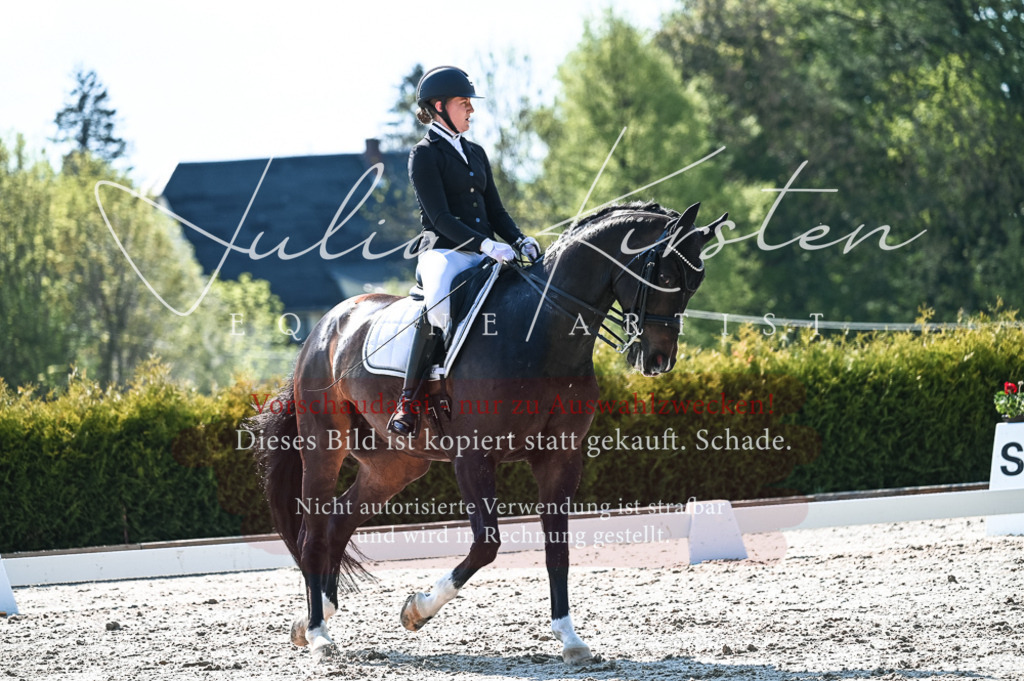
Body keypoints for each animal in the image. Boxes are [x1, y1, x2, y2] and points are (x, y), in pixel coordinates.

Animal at [251, 200, 726, 663]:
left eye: (697, 281)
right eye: (665, 276)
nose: (659, 359)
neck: (541, 332)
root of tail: (327, 324)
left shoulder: (560, 456)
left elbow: (558, 545)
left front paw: (569, 638)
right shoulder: (473, 456)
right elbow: (486, 545)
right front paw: (416, 610)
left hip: (395, 465)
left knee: (338, 522)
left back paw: (313, 618)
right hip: (323, 446)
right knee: (314, 531)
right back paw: (318, 634)